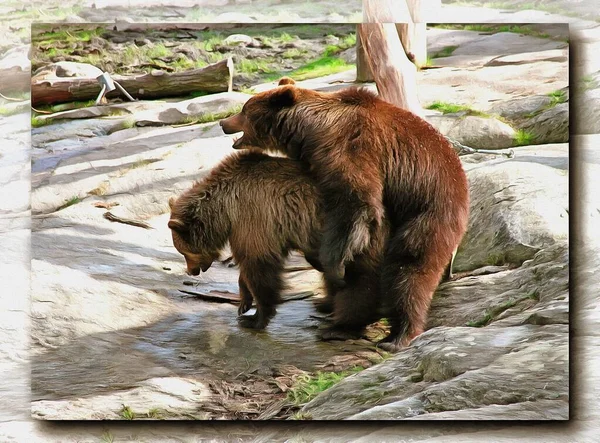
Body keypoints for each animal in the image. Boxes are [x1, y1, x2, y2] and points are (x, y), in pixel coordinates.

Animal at [168, 150, 384, 336]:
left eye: (184, 252)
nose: (191, 271)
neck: (225, 210)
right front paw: (244, 302)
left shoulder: (255, 217)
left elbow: (260, 268)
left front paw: (255, 318)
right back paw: (326, 304)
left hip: (352, 237)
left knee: (360, 282)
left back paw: (342, 325)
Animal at [220, 79, 468, 350]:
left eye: (244, 110)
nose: (223, 123)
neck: (311, 131)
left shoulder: (350, 144)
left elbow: (357, 201)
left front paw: (335, 268)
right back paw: (327, 304)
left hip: (426, 214)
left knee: (408, 270)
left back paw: (387, 334)